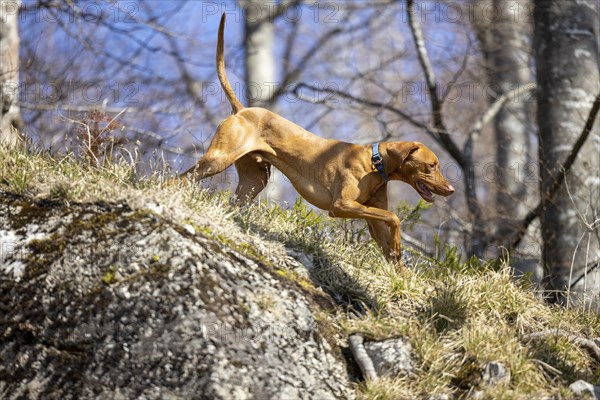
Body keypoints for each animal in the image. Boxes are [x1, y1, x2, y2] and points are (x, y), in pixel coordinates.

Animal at [183, 14, 454, 260]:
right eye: (432, 165)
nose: (451, 190)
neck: (375, 164)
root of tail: (242, 110)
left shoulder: (374, 223)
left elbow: (391, 238)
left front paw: (398, 261)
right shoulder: (341, 206)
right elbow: (394, 217)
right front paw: (398, 246)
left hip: (254, 181)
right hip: (218, 160)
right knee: (180, 180)